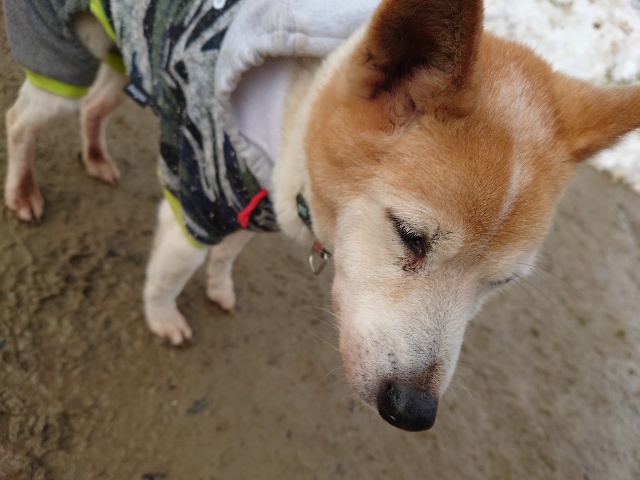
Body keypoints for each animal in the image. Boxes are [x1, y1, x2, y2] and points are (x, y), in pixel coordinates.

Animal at [5, 0, 640, 432]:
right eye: (409, 235)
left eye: (501, 283)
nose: (414, 411)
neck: (294, 112)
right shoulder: (196, 205)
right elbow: (166, 279)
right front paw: (164, 321)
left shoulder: (256, 209)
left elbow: (227, 257)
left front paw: (219, 288)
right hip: (62, 70)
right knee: (22, 122)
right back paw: (23, 190)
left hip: (122, 66)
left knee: (93, 109)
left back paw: (96, 157)